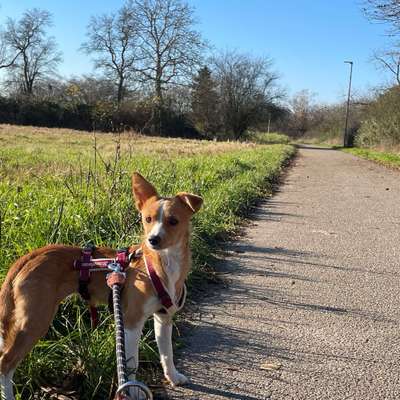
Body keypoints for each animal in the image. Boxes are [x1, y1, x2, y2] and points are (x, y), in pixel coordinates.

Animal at [0, 173, 202, 400]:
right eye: (148, 219)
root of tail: (29, 257)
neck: (163, 264)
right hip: (34, 320)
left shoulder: (164, 318)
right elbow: (131, 363)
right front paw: (133, 391)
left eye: (173, 221)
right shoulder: (131, 322)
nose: (153, 240)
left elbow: (167, 353)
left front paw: (173, 377)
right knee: (5, 363)